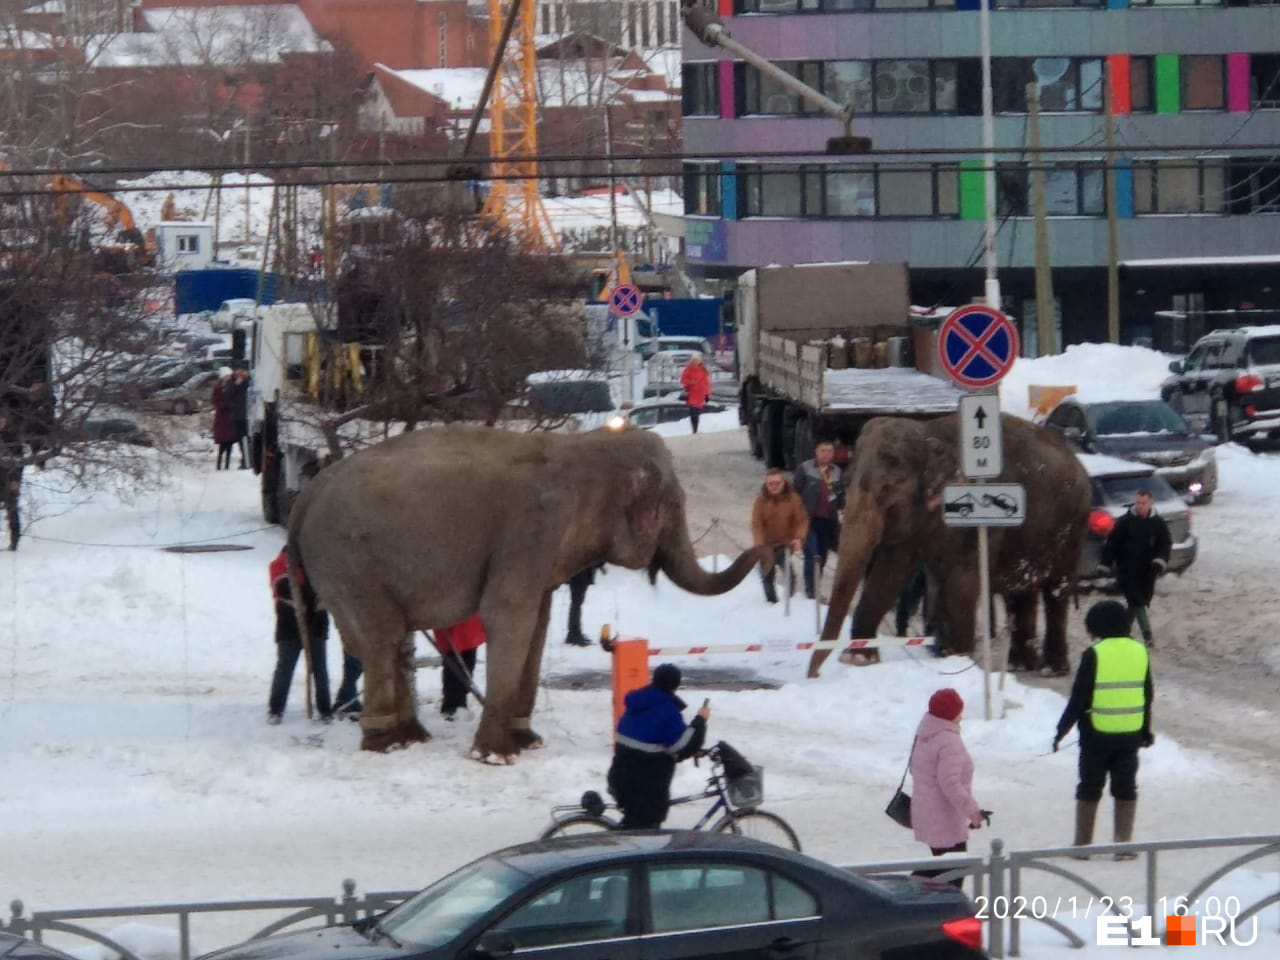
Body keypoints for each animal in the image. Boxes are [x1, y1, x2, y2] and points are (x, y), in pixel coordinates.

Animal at [285, 427, 752, 768]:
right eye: (671, 504)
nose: (755, 549)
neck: (582, 447)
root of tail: (307, 495)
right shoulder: (530, 530)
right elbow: (508, 615)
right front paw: (496, 756)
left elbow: (538, 624)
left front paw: (528, 741)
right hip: (349, 564)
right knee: (380, 639)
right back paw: (388, 745)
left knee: (395, 639)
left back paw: (412, 738)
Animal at [803, 417, 1085, 680]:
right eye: (845, 482)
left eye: (886, 491)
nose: (813, 674)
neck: (928, 433)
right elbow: (890, 572)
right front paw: (860, 659)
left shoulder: (976, 522)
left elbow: (963, 582)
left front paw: (957, 659)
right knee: (1020, 593)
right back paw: (1021, 664)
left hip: (1069, 531)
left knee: (1056, 591)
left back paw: (1052, 669)